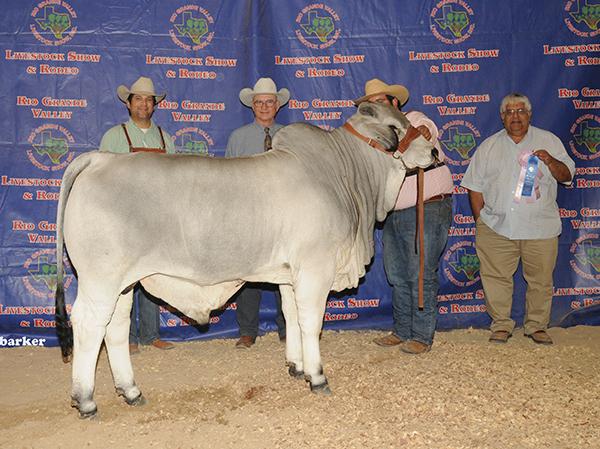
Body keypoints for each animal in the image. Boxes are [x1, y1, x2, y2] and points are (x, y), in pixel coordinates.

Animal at [55, 101, 436, 416]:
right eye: (397, 126)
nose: (434, 150)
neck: (342, 175)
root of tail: (101, 158)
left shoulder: (290, 275)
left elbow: (291, 316)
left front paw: (296, 367)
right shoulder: (316, 268)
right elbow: (311, 321)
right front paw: (317, 377)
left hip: (122, 283)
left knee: (115, 329)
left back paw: (131, 391)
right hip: (100, 279)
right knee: (89, 325)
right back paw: (86, 400)